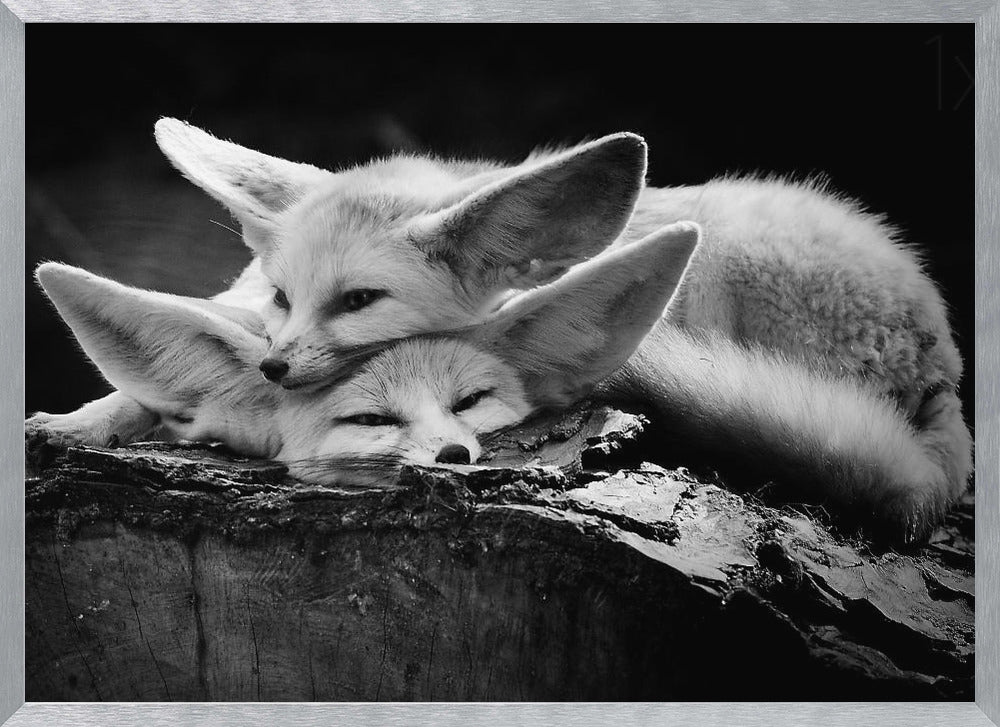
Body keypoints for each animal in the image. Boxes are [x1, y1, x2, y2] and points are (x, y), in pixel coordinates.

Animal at [26, 122, 972, 542]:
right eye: (287, 297)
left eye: (360, 298)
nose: (274, 368)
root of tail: (946, 355)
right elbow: (135, 387)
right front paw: (78, 421)